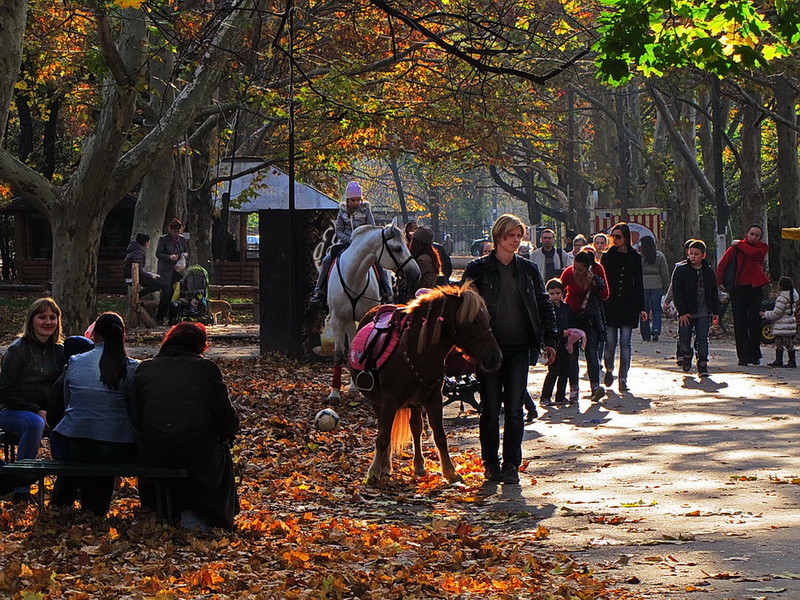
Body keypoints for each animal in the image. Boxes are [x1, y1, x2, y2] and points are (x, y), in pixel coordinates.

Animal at [326, 220, 422, 398]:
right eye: (397, 248)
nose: (416, 273)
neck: (353, 278)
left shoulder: (367, 316)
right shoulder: (338, 319)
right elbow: (338, 354)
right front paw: (334, 393)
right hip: (348, 319)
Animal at [354, 284, 500, 486]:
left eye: (487, 319)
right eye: (471, 322)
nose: (495, 358)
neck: (415, 353)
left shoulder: (433, 399)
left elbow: (439, 436)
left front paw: (450, 472)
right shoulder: (389, 401)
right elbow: (383, 437)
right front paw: (374, 472)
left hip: (415, 403)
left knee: (416, 428)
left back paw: (418, 466)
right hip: (379, 403)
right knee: (386, 431)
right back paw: (385, 466)